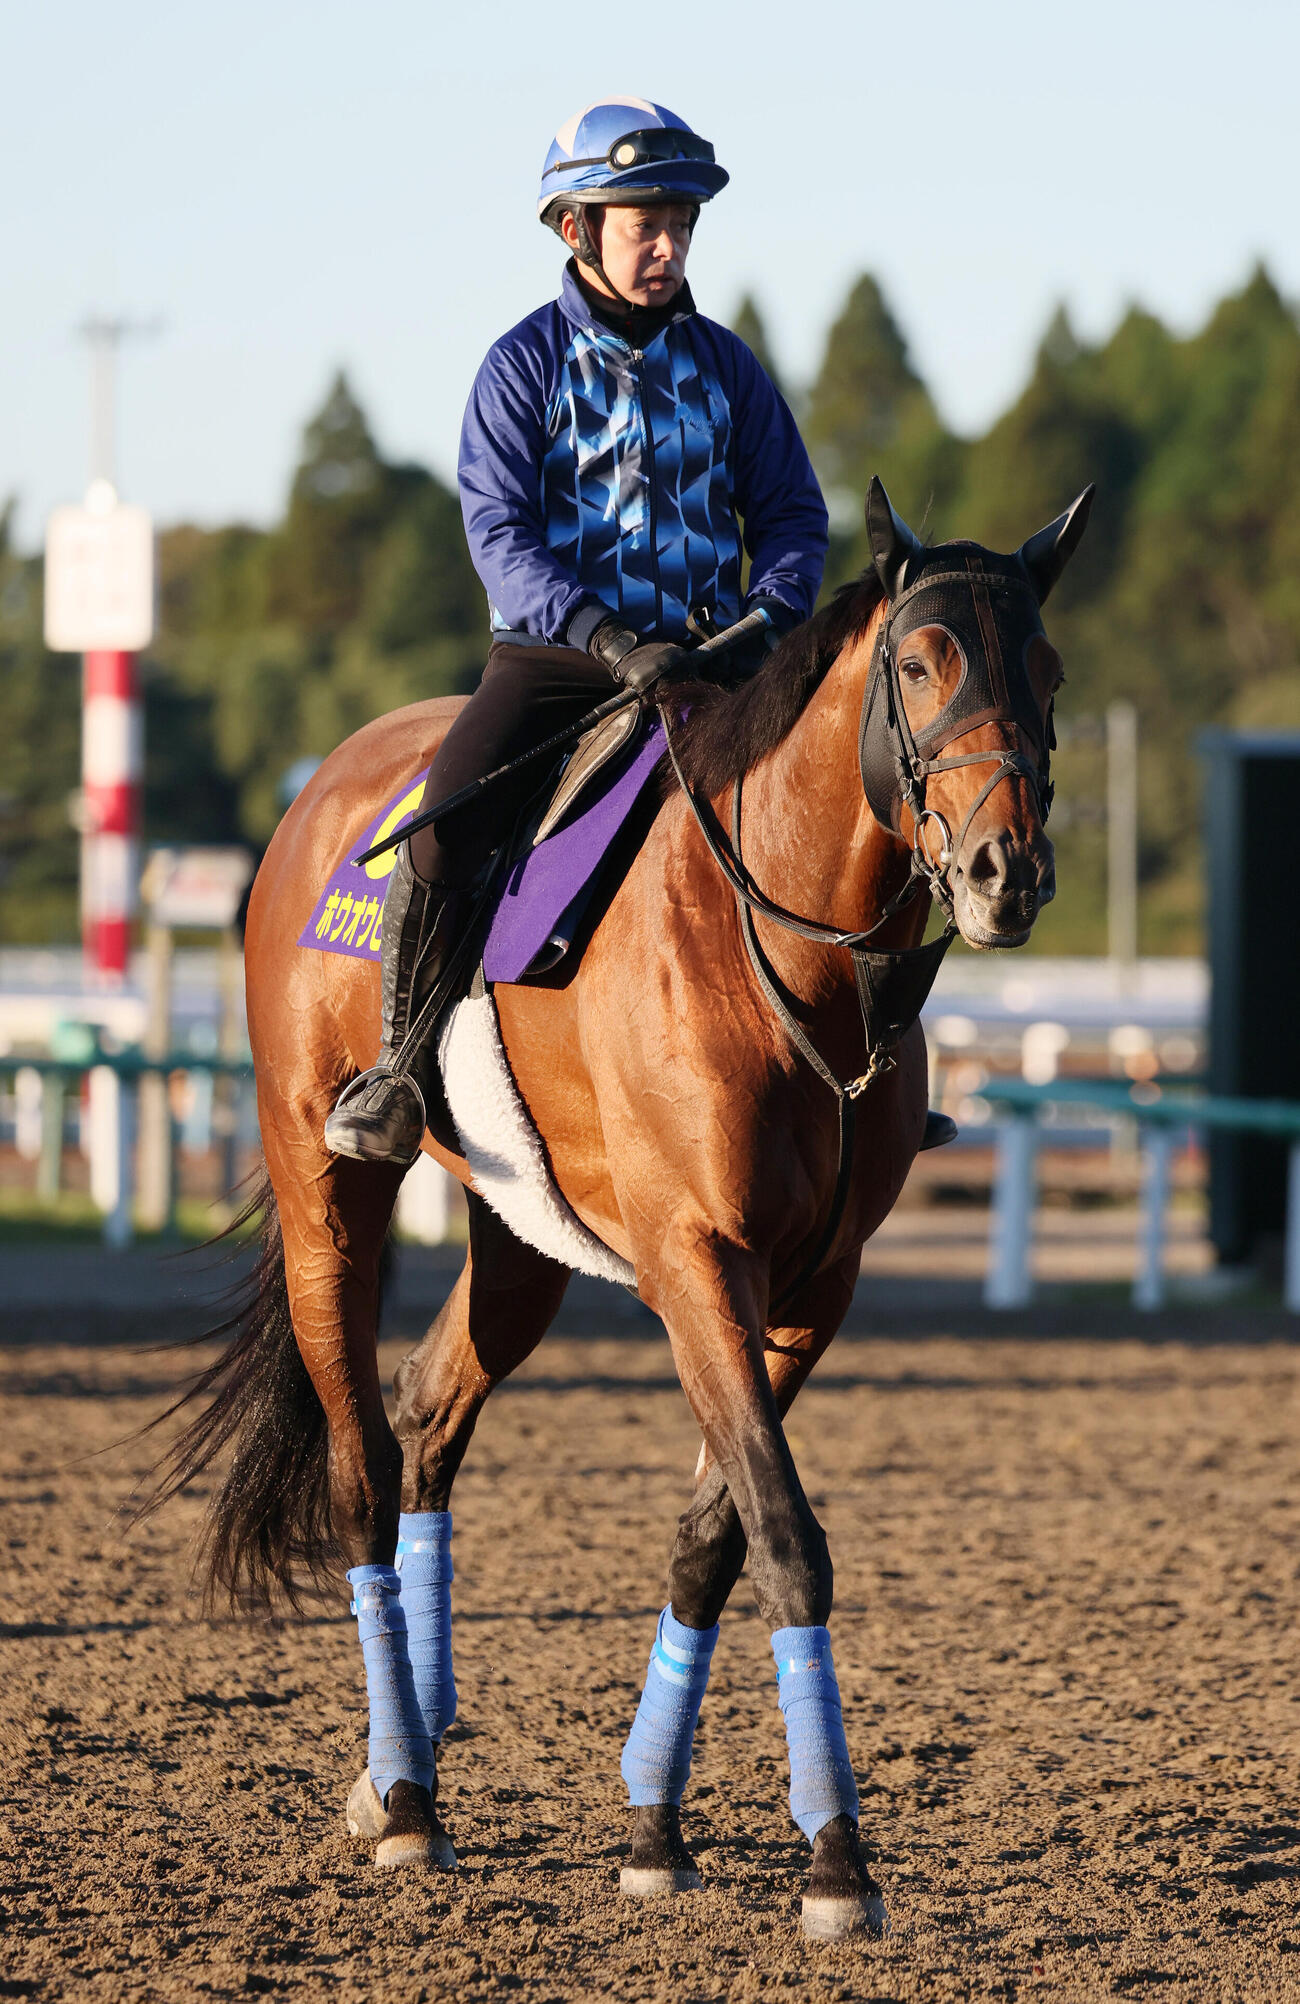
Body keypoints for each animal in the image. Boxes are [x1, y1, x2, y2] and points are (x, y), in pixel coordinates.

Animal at [146, 477, 1092, 1940]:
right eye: (922, 663)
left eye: (1044, 669)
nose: (1005, 871)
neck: (789, 960)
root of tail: (325, 792)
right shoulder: (696, 1260)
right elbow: (784, 1532)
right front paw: (836, 1860)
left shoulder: (813, 1285)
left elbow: (713, 1538)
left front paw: (656, 1827)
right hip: (328, 1195)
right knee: (362, 1465)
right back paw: (404, 1799)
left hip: (520, 1239)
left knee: (431, 1416)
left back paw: (409, 1762)